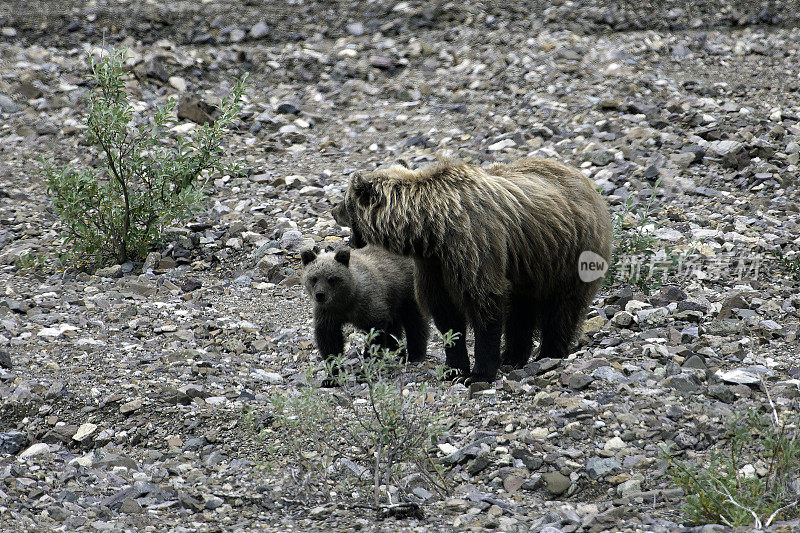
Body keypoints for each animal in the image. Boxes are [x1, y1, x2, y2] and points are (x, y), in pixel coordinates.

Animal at [334, 157, 608, 382]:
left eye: (345, 199)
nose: (333, 209)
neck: (432, 230)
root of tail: (584, 179)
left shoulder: (475, 246)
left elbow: (485, 304)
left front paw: (479, 373)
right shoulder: (434, 265)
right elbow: (446, 315)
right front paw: (454, 369)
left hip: (568, 254)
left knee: (561, 307)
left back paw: (549, 353)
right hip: (528, 264)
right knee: (521, 309)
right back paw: (512, 356)